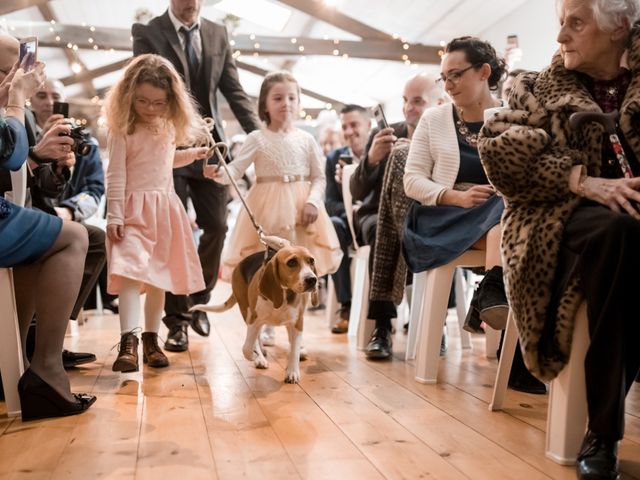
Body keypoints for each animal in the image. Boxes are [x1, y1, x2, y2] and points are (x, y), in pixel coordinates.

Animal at [191, 246, 318, 384]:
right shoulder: (254, 320)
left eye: (311, 261)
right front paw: (255, 356)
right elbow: (247, 348)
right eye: (292, 262)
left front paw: (292, 372)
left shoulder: (297, 324)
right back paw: (260, 357)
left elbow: (294, 350)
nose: (312, 279)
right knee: (254, 339)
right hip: (246, 311)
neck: (284, 293)